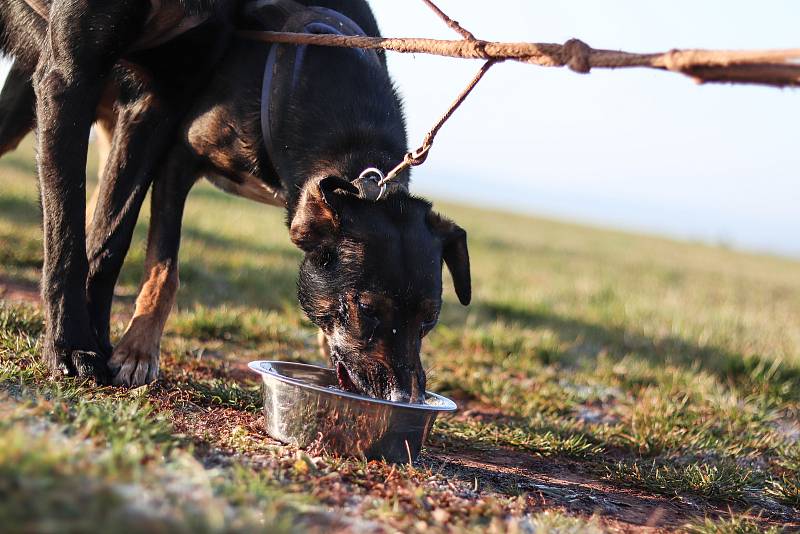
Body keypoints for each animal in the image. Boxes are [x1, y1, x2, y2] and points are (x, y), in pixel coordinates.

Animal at [0, 0, 472, 402]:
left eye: (429, 319)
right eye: (368, 309)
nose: (404, 399)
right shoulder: (176, 158)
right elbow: (164, 271)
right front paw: (137, 352)